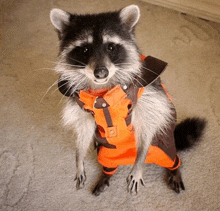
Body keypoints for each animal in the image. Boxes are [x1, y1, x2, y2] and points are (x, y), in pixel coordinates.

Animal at [49, 4, 206, 196]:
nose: (101, 73)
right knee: (107, 161)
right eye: (85, 49)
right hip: (107, 151)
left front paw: (139, 163)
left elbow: (147, 122)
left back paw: (173, 168)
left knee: (169, 155)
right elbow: (84, 128)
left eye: (111, 47)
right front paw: (79, 158)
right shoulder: (79, 106)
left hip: (163, 144)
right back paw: (106, 174)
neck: (103, 90)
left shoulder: (147, 94)